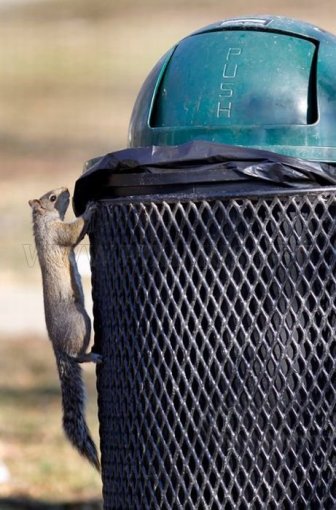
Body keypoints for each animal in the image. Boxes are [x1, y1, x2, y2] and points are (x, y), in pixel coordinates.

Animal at [28, 186, 101, 470]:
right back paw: (90, 355)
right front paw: (89, 209)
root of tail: (58, 349)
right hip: (81, 322)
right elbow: (72, 233)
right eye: (51, 197)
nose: (66, 190)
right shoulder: (56, 233)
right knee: (76, 356)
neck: (43, 221)